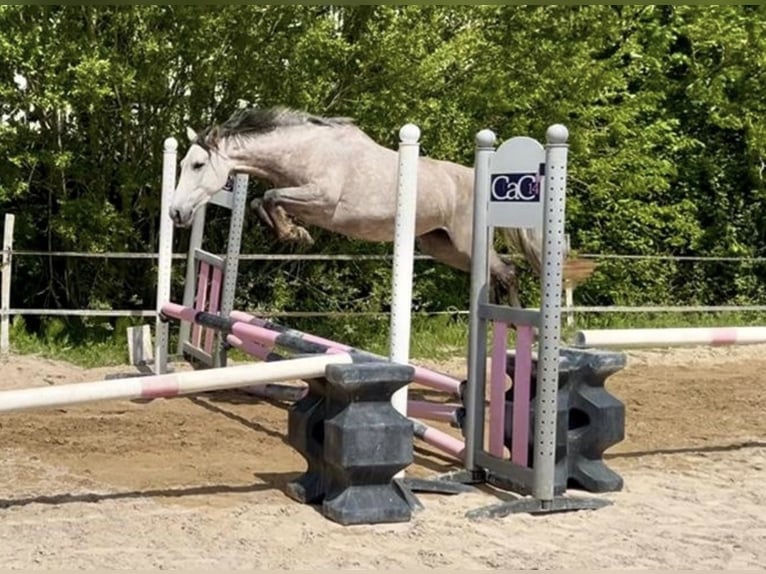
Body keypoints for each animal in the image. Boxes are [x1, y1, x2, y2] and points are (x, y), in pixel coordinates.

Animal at [168, 106, 589, 307]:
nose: (176, 213)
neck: (305, 150)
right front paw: (294, 232)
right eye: (184, 163)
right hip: (443, 246)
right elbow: (261, 200)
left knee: (507, 272)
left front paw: (295, 234)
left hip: (467, 242)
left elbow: (270, 198)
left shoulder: (322, 200)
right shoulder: (301, 196)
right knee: (500, 272)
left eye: (198, 165)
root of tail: (478, 178)